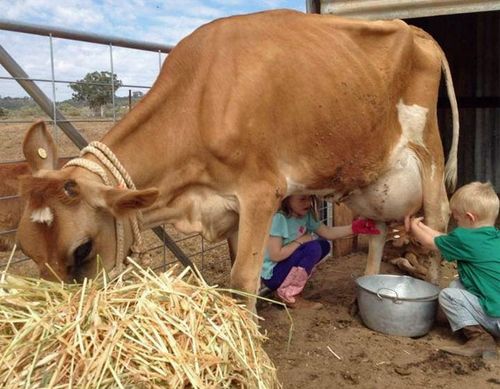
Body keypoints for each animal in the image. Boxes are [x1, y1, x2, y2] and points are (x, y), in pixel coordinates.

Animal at [15, 9, 458, 312]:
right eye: (28, 251)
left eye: (82, 250)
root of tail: (415, 29)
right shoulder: (226, 205)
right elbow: (234, 273)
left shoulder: (261, 192)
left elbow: (243, 278)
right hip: (372, 173)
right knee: (379, 228)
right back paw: (368, 284)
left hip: (428, 148)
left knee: (438, 216)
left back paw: (433, 294)